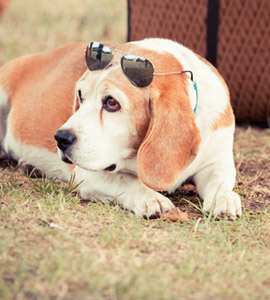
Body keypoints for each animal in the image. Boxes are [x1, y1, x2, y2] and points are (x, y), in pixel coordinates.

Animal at [0, 39, 240, 218]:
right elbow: (125, 179)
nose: (60, 138)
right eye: (80, 95)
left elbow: (219, 178)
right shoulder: (88, 174)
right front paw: (150, 197)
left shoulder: (217, 158)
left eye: (111, 103)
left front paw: (224, 198)